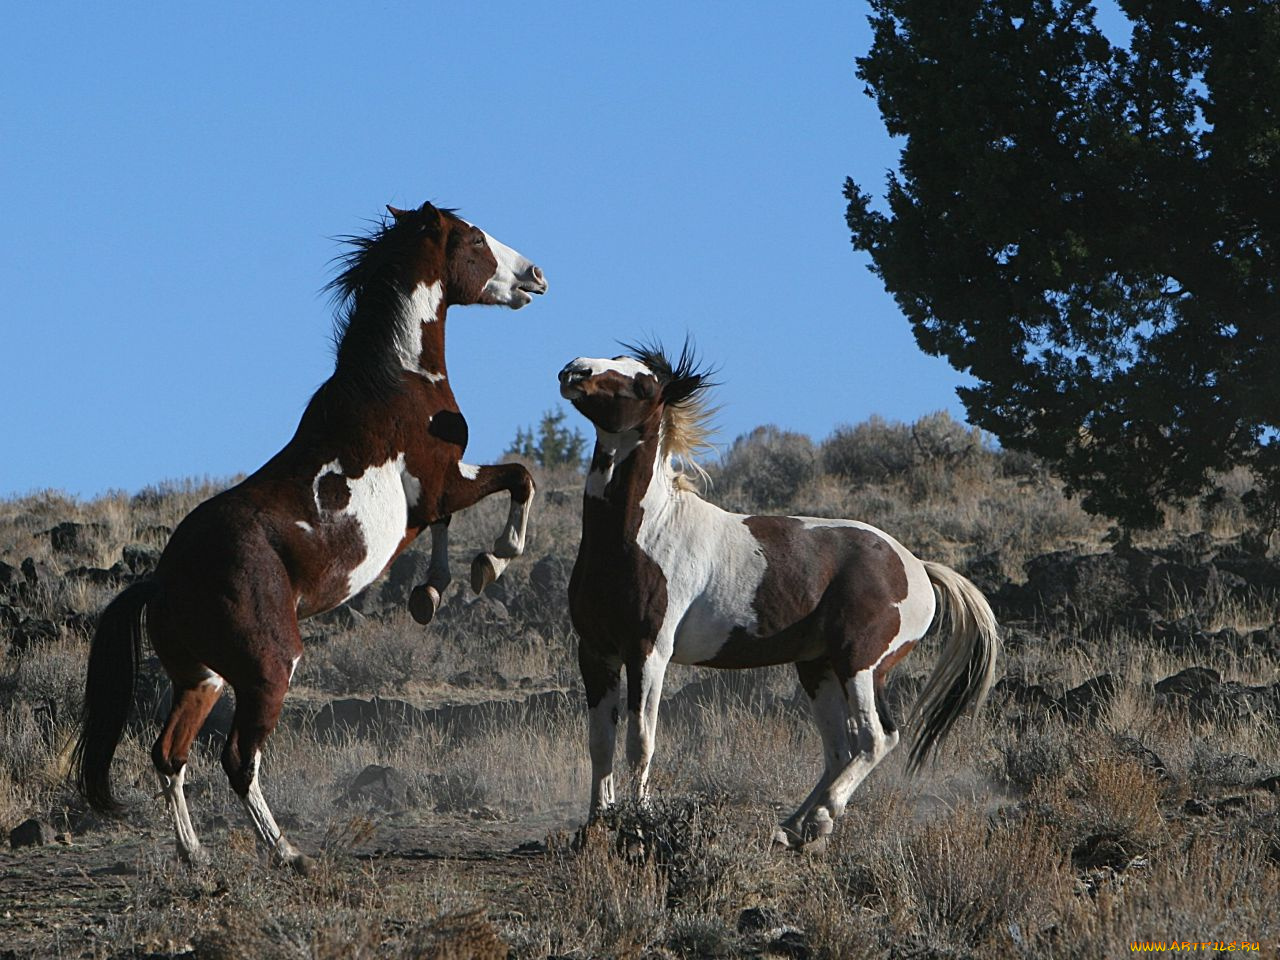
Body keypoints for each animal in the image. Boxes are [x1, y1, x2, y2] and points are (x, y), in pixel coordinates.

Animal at [73, 200, 545, 870]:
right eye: (474, 239)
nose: (536, 275)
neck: (397, 380)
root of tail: (162, 582)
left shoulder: (432, 503)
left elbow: (448, 529)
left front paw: (429, 594)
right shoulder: (446, 482)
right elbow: (519, 478)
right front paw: (493, 561)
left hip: (202, 677)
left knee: (170, 754)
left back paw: (197, 857)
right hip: (270, 668)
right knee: (238, 759)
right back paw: (286, 852)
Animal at [560, 345, 998, 849]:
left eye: (643, 383)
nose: (575, 371)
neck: (644, 532)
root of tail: (918, 568)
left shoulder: (649, 650)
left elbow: (640, 741)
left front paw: (637, 823)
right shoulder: (596, 652)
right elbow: (600, 742)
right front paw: (595, 823)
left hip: (861, 664)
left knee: (876, 738)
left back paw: (822, 818)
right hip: (817, 668)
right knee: (839, 749)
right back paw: (793, 827)